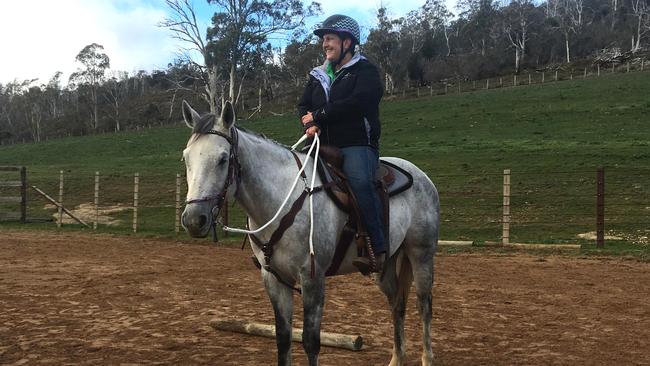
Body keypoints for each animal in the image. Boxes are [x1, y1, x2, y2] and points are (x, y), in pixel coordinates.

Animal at [180, 101, 438, 366]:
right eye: (186, 157)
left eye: (222, 159)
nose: (193, 219)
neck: (283, 199)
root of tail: (421, 175)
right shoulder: (274, 278)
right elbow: (283, 338)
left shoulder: (312, 279)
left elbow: (310, 341)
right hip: (386, 264)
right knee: (397, 304)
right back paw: (396, 358)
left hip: (421, 255)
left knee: (424, 305)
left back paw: (427, 358)